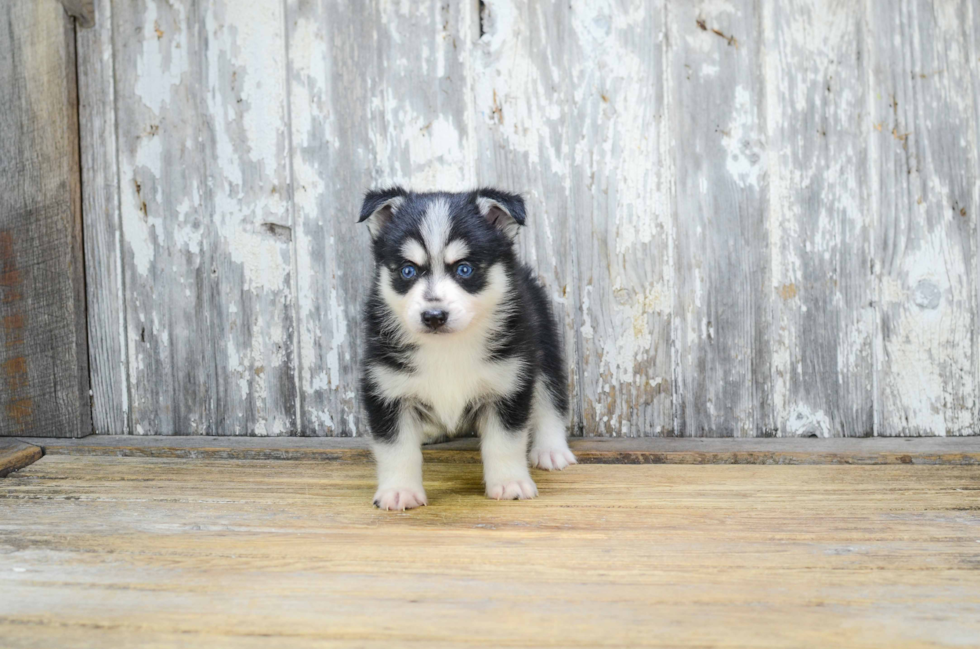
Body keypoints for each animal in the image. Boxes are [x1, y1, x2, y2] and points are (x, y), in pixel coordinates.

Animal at [358, 187, 576, 512]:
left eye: (464, 269)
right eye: (408, 271)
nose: (434, 316)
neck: (447, 347)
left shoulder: (507, 382)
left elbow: (504, 442)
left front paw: (510, 483)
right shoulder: (387, 388)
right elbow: (396, 449)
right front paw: (399, 491)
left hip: (543, 347)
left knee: (549, 399)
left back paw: (551, 450)